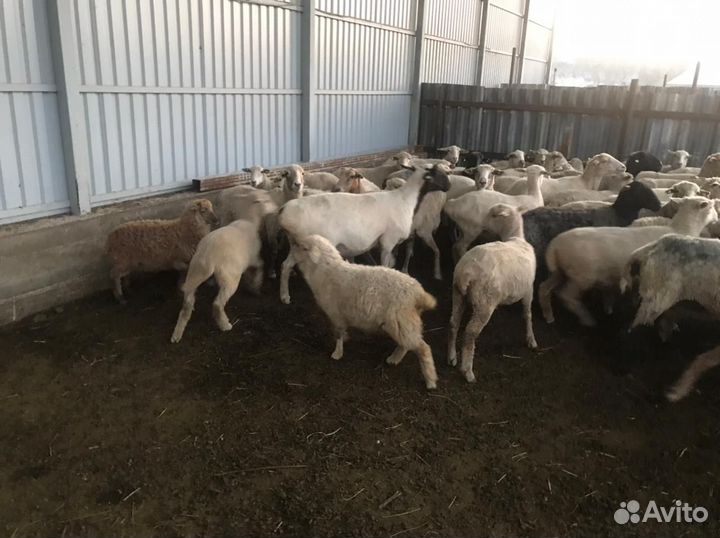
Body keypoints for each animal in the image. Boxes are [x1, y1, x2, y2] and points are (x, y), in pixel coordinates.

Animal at [170, 192, 277, 343]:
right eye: (267, 201)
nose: (278, 207)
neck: (250, 219)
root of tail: (208, 257)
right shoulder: (253, 258)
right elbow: (259, 267)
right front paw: (255, 286)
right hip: (229, 277)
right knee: (217, 304)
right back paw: (225, 325)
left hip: (194, 273)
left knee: (186, 307)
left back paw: (176, 335)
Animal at [278, 164, 450, 304]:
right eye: (437, 173)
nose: (448, 186)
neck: (407, 200)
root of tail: (284, 210)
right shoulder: (388, 241)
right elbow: (385, 265)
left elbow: (391, 263)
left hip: (296, 243)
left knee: (285, 265)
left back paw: (285, 297)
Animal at [290, 234, 439, 389]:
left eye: (303, 247)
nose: (292, 244)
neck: (325, 272)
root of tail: (418, 293)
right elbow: (342, 332)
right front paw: (345, 340)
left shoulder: (336, 314)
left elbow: (338, 334)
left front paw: (337, 353)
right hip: (402, 323)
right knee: (407, 344)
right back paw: (394, 359)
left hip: (401, 320)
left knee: (423, 349)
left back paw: (430, 381)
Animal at [447, 204, 537, 383]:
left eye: (493, 215)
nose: (482, 223)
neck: (515, 238)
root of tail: (466, 272)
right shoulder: (528, 289)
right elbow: (527, 314)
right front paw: (531, 339)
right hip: (484, 302)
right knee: (470, 333)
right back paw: (467, 371)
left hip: (458, 294)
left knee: (454, 323)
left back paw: (451, 357)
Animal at [539, 197, 717, 326]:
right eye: (711, 206)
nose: (717, 217)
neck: (681, 229)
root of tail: (554, 246)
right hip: (581, 277)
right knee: (567, 296)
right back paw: (587, 319)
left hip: (561, 272)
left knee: (544, 288)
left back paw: (548, 316)